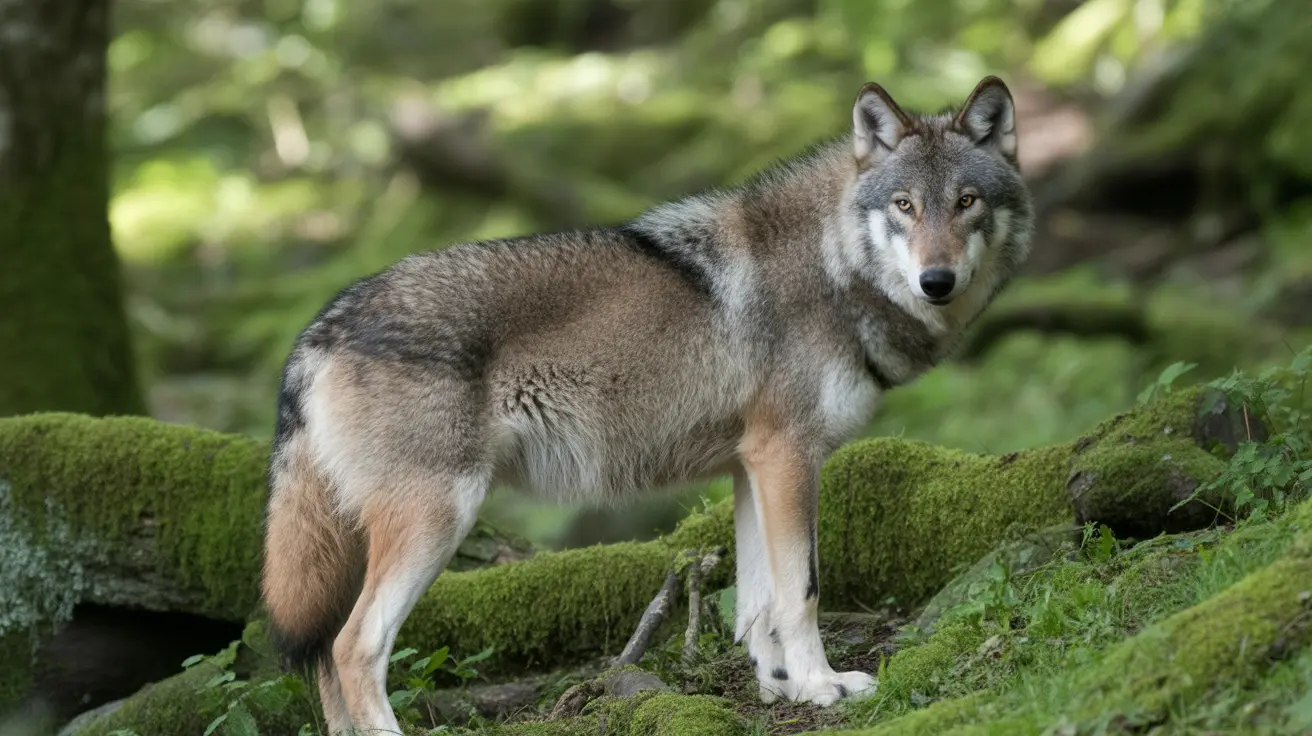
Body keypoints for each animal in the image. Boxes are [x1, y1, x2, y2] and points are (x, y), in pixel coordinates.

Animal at [260, 75, 1034, 734]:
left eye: (966, 202)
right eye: (905, 206)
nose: (937, 280)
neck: (832, 265)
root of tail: (318, 330)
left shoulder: (750, 467)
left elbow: (758, 604)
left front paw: (780, 687)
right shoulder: (788, 457)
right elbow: (803, 589)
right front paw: (822, 687)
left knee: (323, 657)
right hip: (437, 519)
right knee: (353, 648)